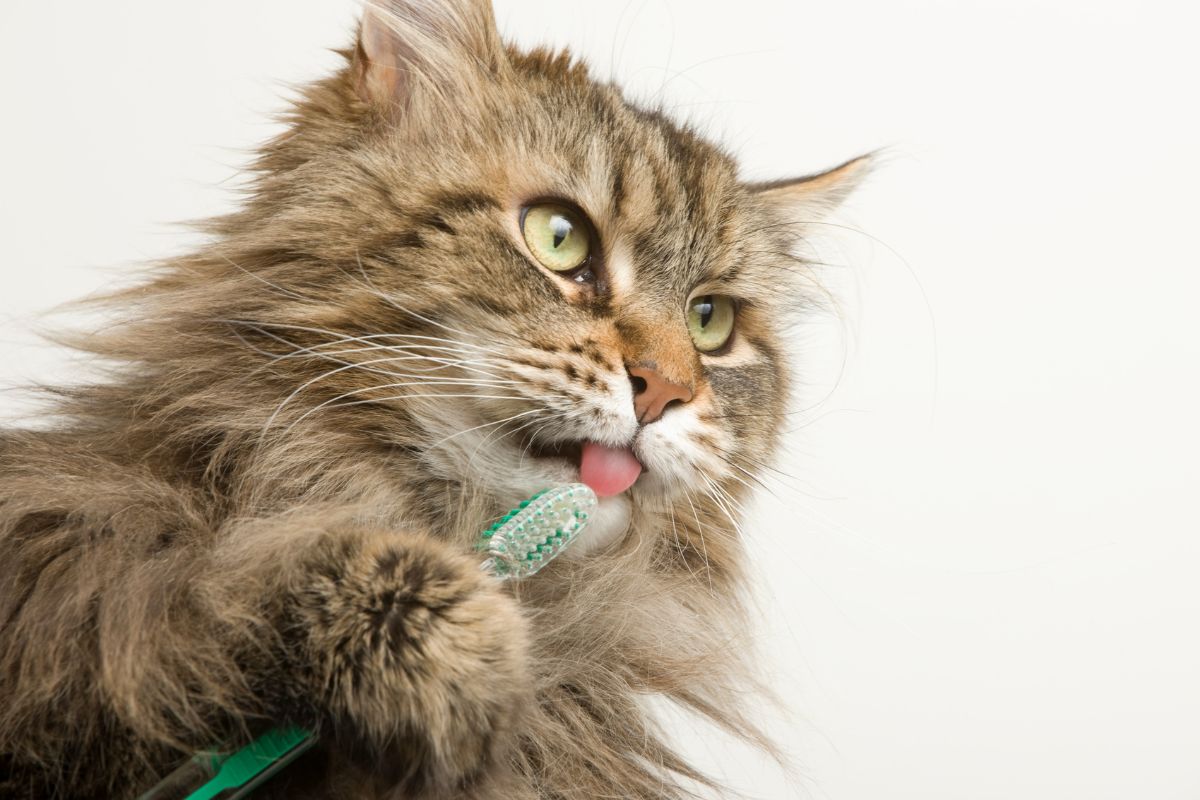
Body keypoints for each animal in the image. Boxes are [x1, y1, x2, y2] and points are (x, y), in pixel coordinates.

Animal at [0, 1, 864, 800]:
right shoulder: (80, 588)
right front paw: (452, 649)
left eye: (710, 321)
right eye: (559, 238)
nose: (668, 389)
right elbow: (229, 584)